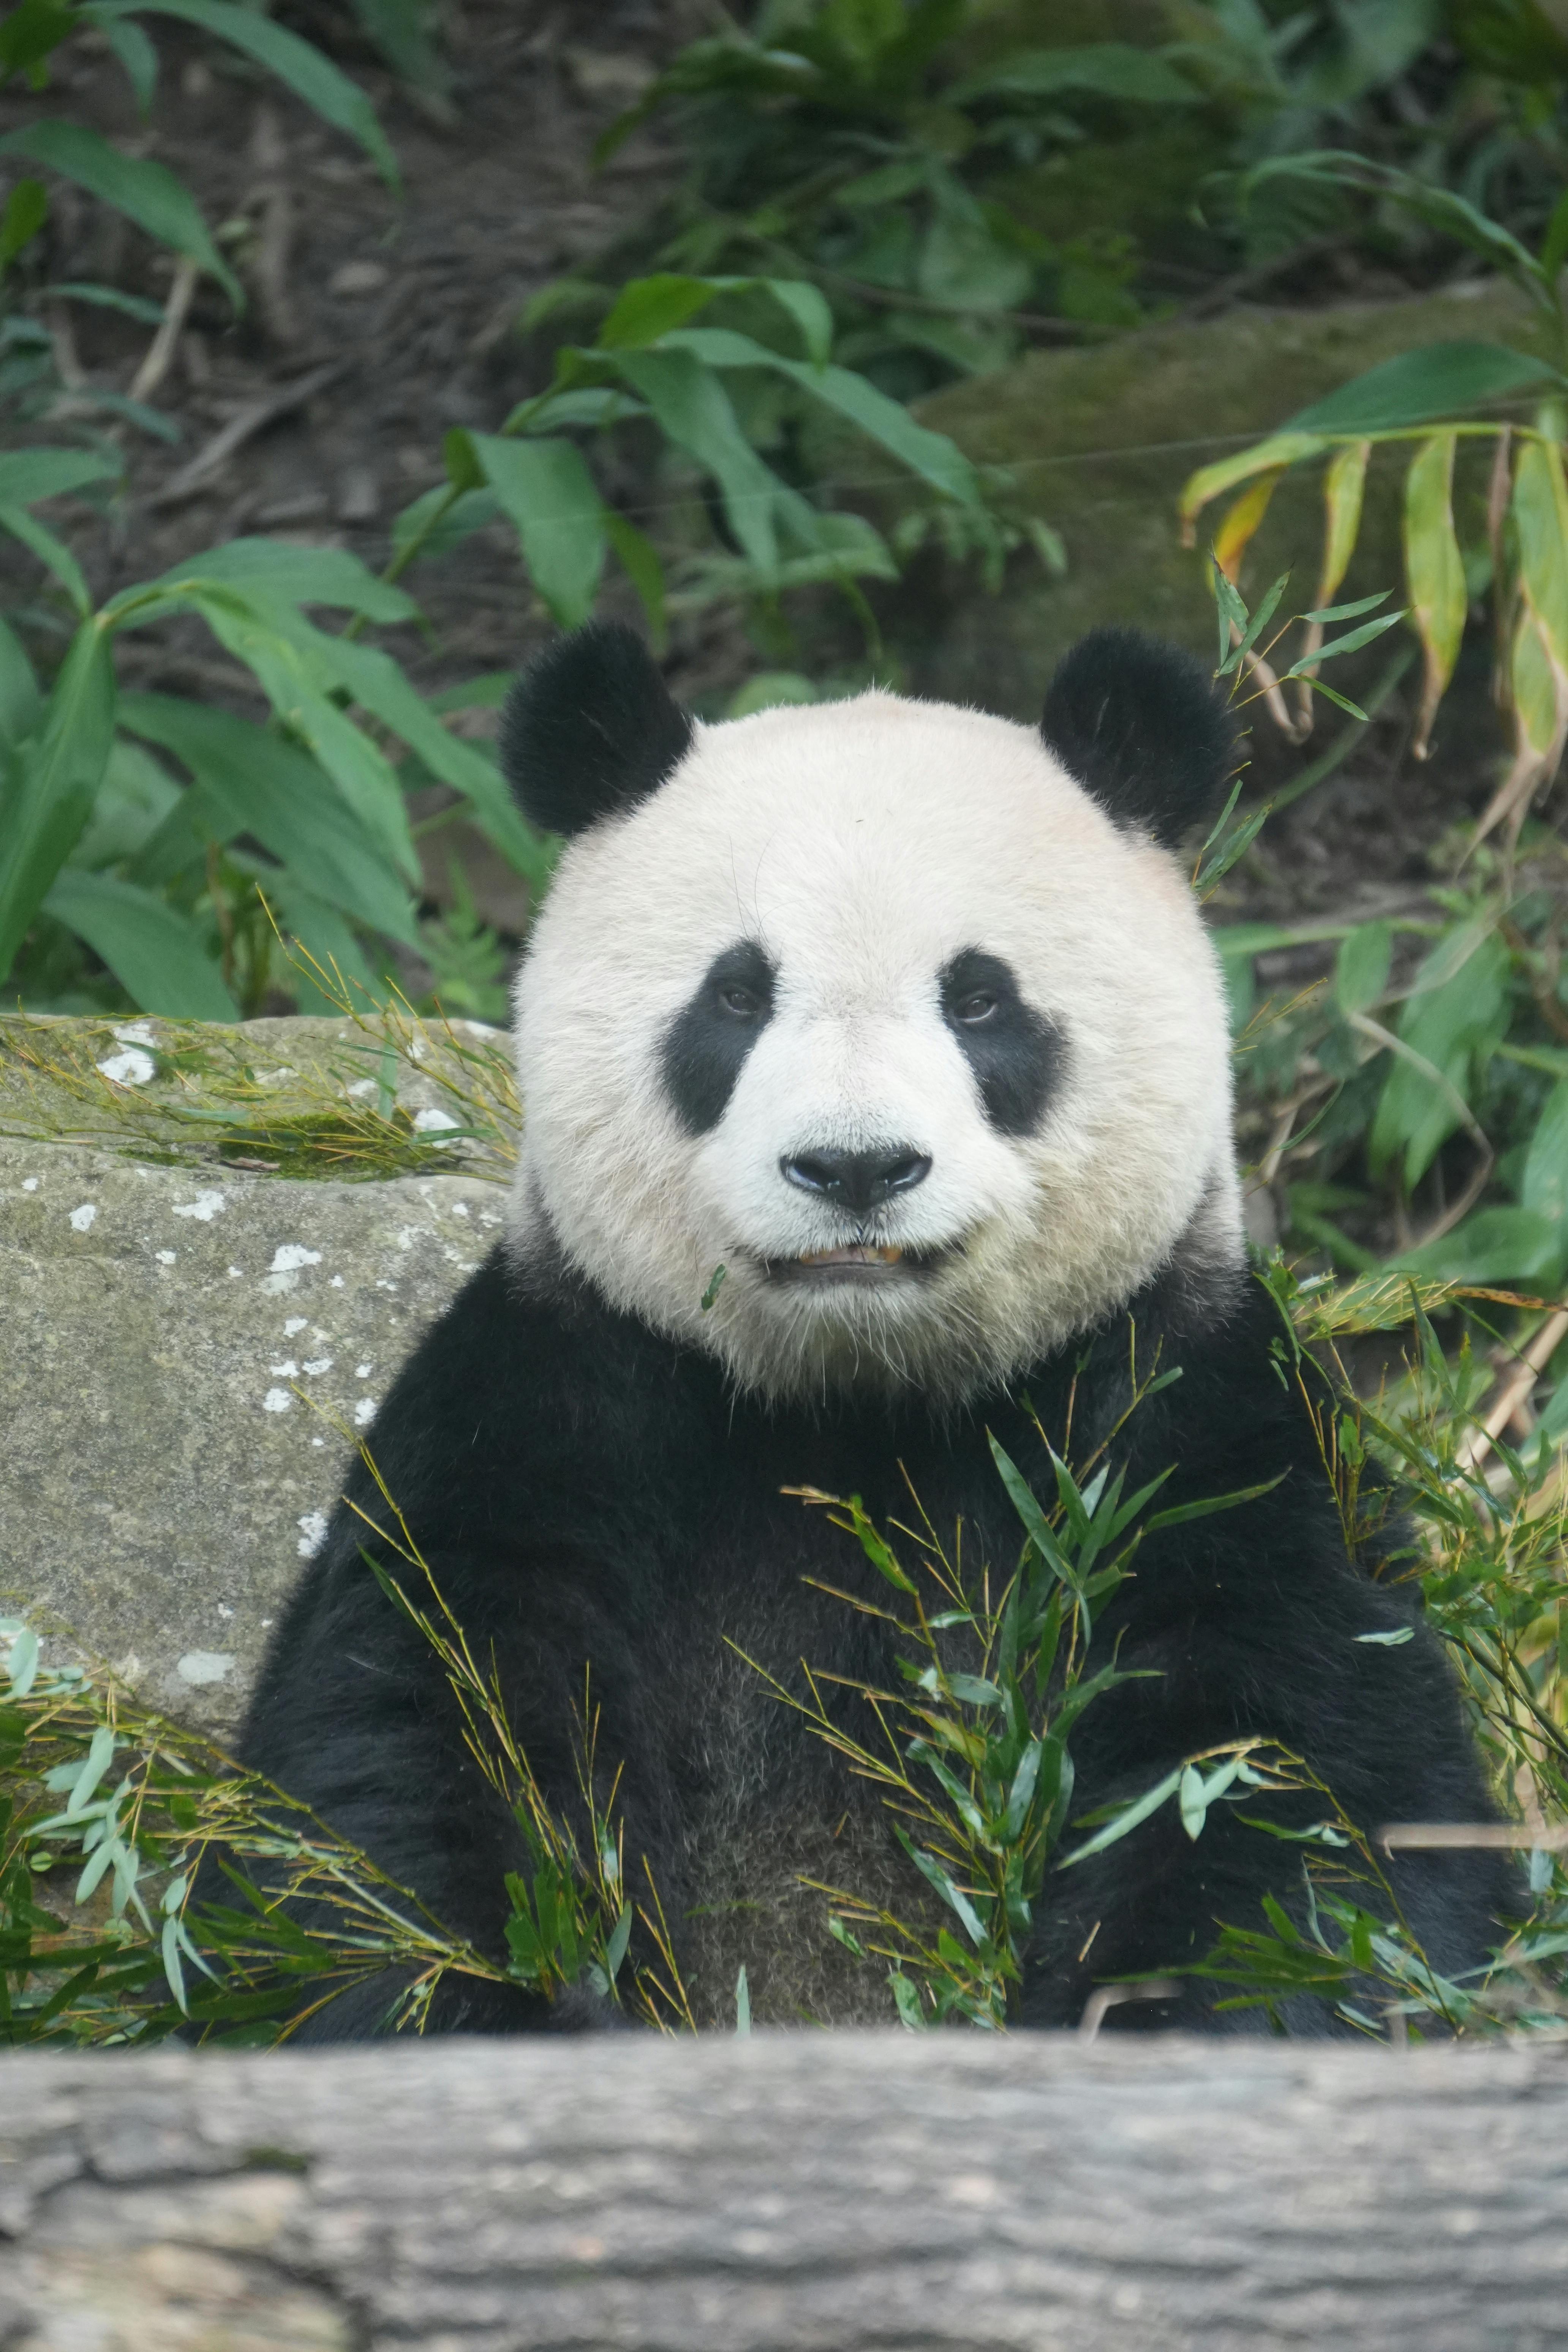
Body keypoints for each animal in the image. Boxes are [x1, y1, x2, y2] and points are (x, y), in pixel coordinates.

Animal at [240, 626, 1514, 2041]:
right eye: (736, 997)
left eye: (979, 1002)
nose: (854, 1167)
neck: (854, 1402)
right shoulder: (551, 1397)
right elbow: (411, 1762)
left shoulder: (1177, 1415)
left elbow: (1292, 1780)